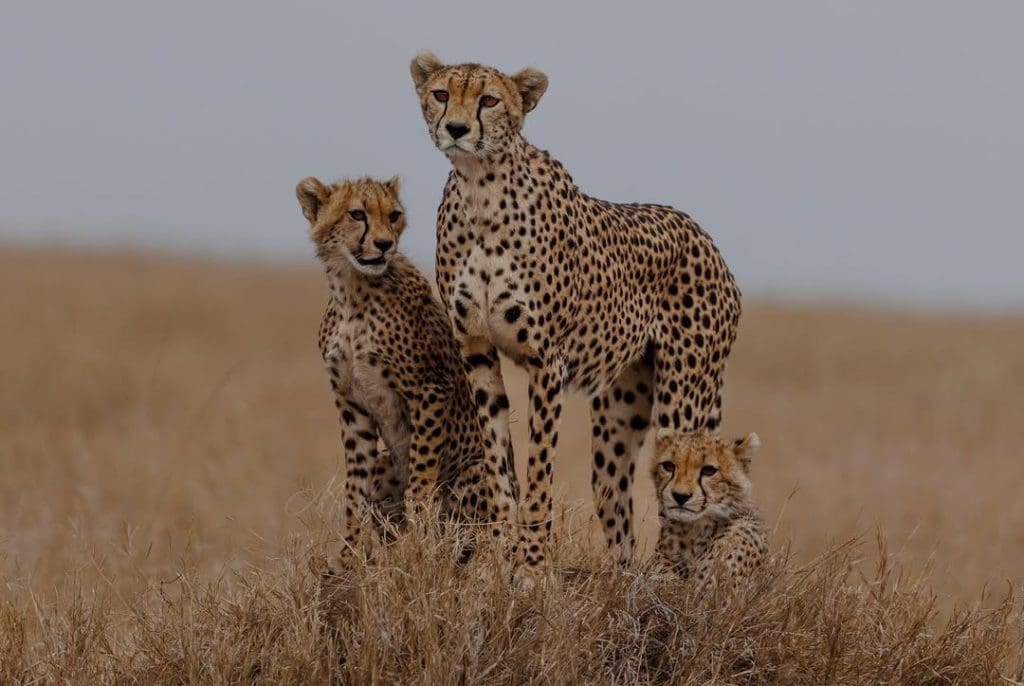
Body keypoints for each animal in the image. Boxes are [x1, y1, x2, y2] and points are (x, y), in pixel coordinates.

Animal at [296, 174, 518, 567]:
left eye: (394, 215)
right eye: (357, 214)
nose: (385, 244)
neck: (351, 289)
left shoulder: (429, 389)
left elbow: (420, 481)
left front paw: (418, 545)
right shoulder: (351, 403)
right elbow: (355, 489)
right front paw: (348, 560)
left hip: (475, 473)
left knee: (472, 536)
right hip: (386, 464)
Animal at [410, 52, 742, 584]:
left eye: (489, 100)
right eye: (442, 94)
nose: (457, 128)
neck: (481, 188)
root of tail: (705, 237)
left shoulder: (548, 359)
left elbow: (538, 472)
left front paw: (531, 568)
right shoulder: (476, 349)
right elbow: (499, 465)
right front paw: (496, 558)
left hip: (685, 396)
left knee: (685, 482)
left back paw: (668, 579)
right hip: (617, 417)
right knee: (615, 505)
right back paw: (626, 580)